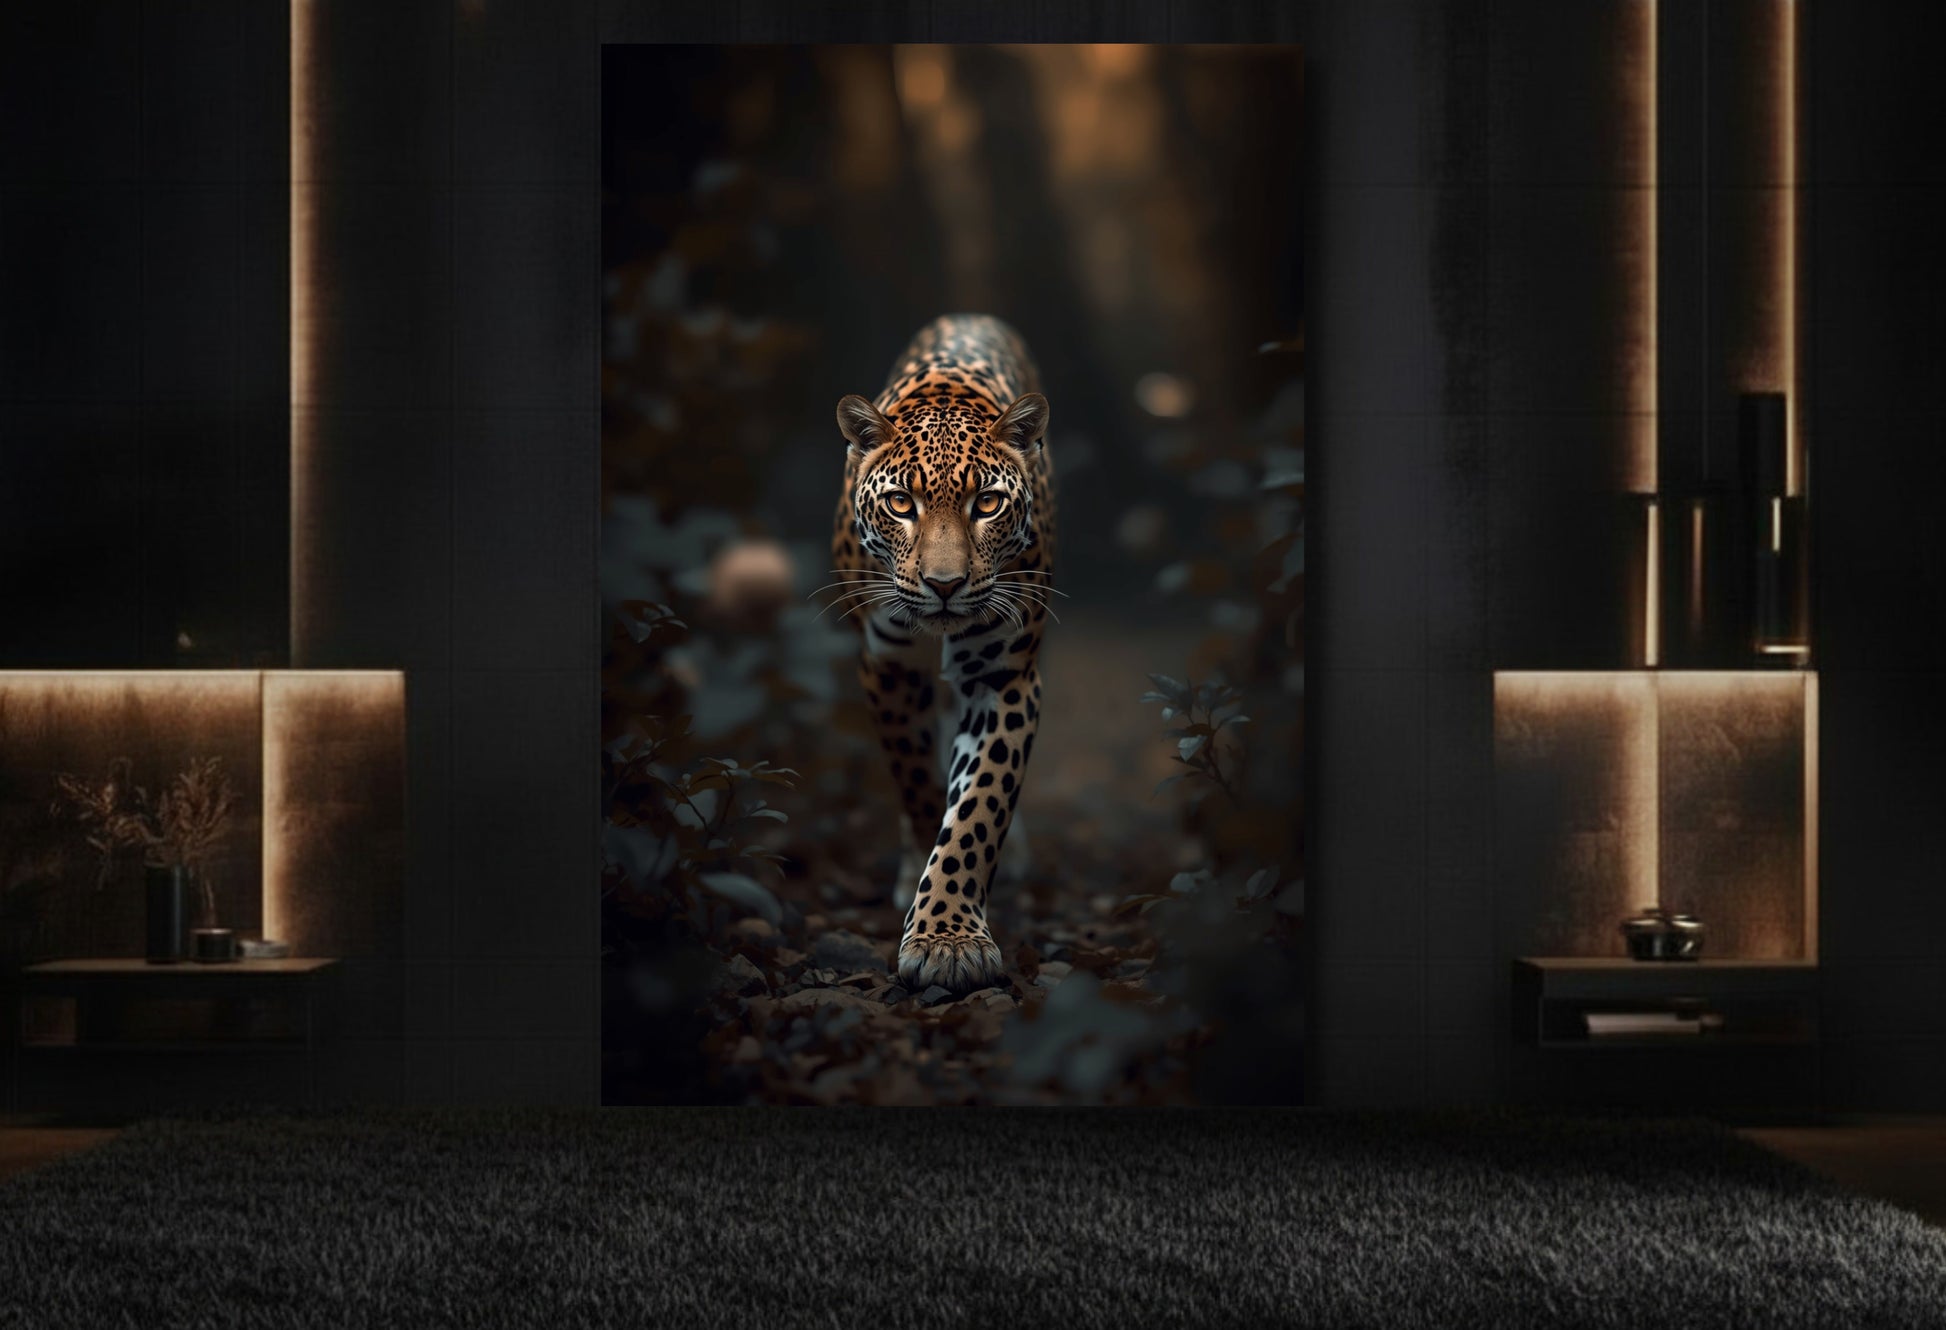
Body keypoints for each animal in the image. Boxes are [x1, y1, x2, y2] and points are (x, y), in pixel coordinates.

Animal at [828, 314, 1057, 995]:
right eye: (902, 503)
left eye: (988, 504)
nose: (946, 585)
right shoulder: (889, 666)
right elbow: (919, 783)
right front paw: (933, 912)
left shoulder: (1004, 675)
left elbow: (980, 803)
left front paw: (947, 938)